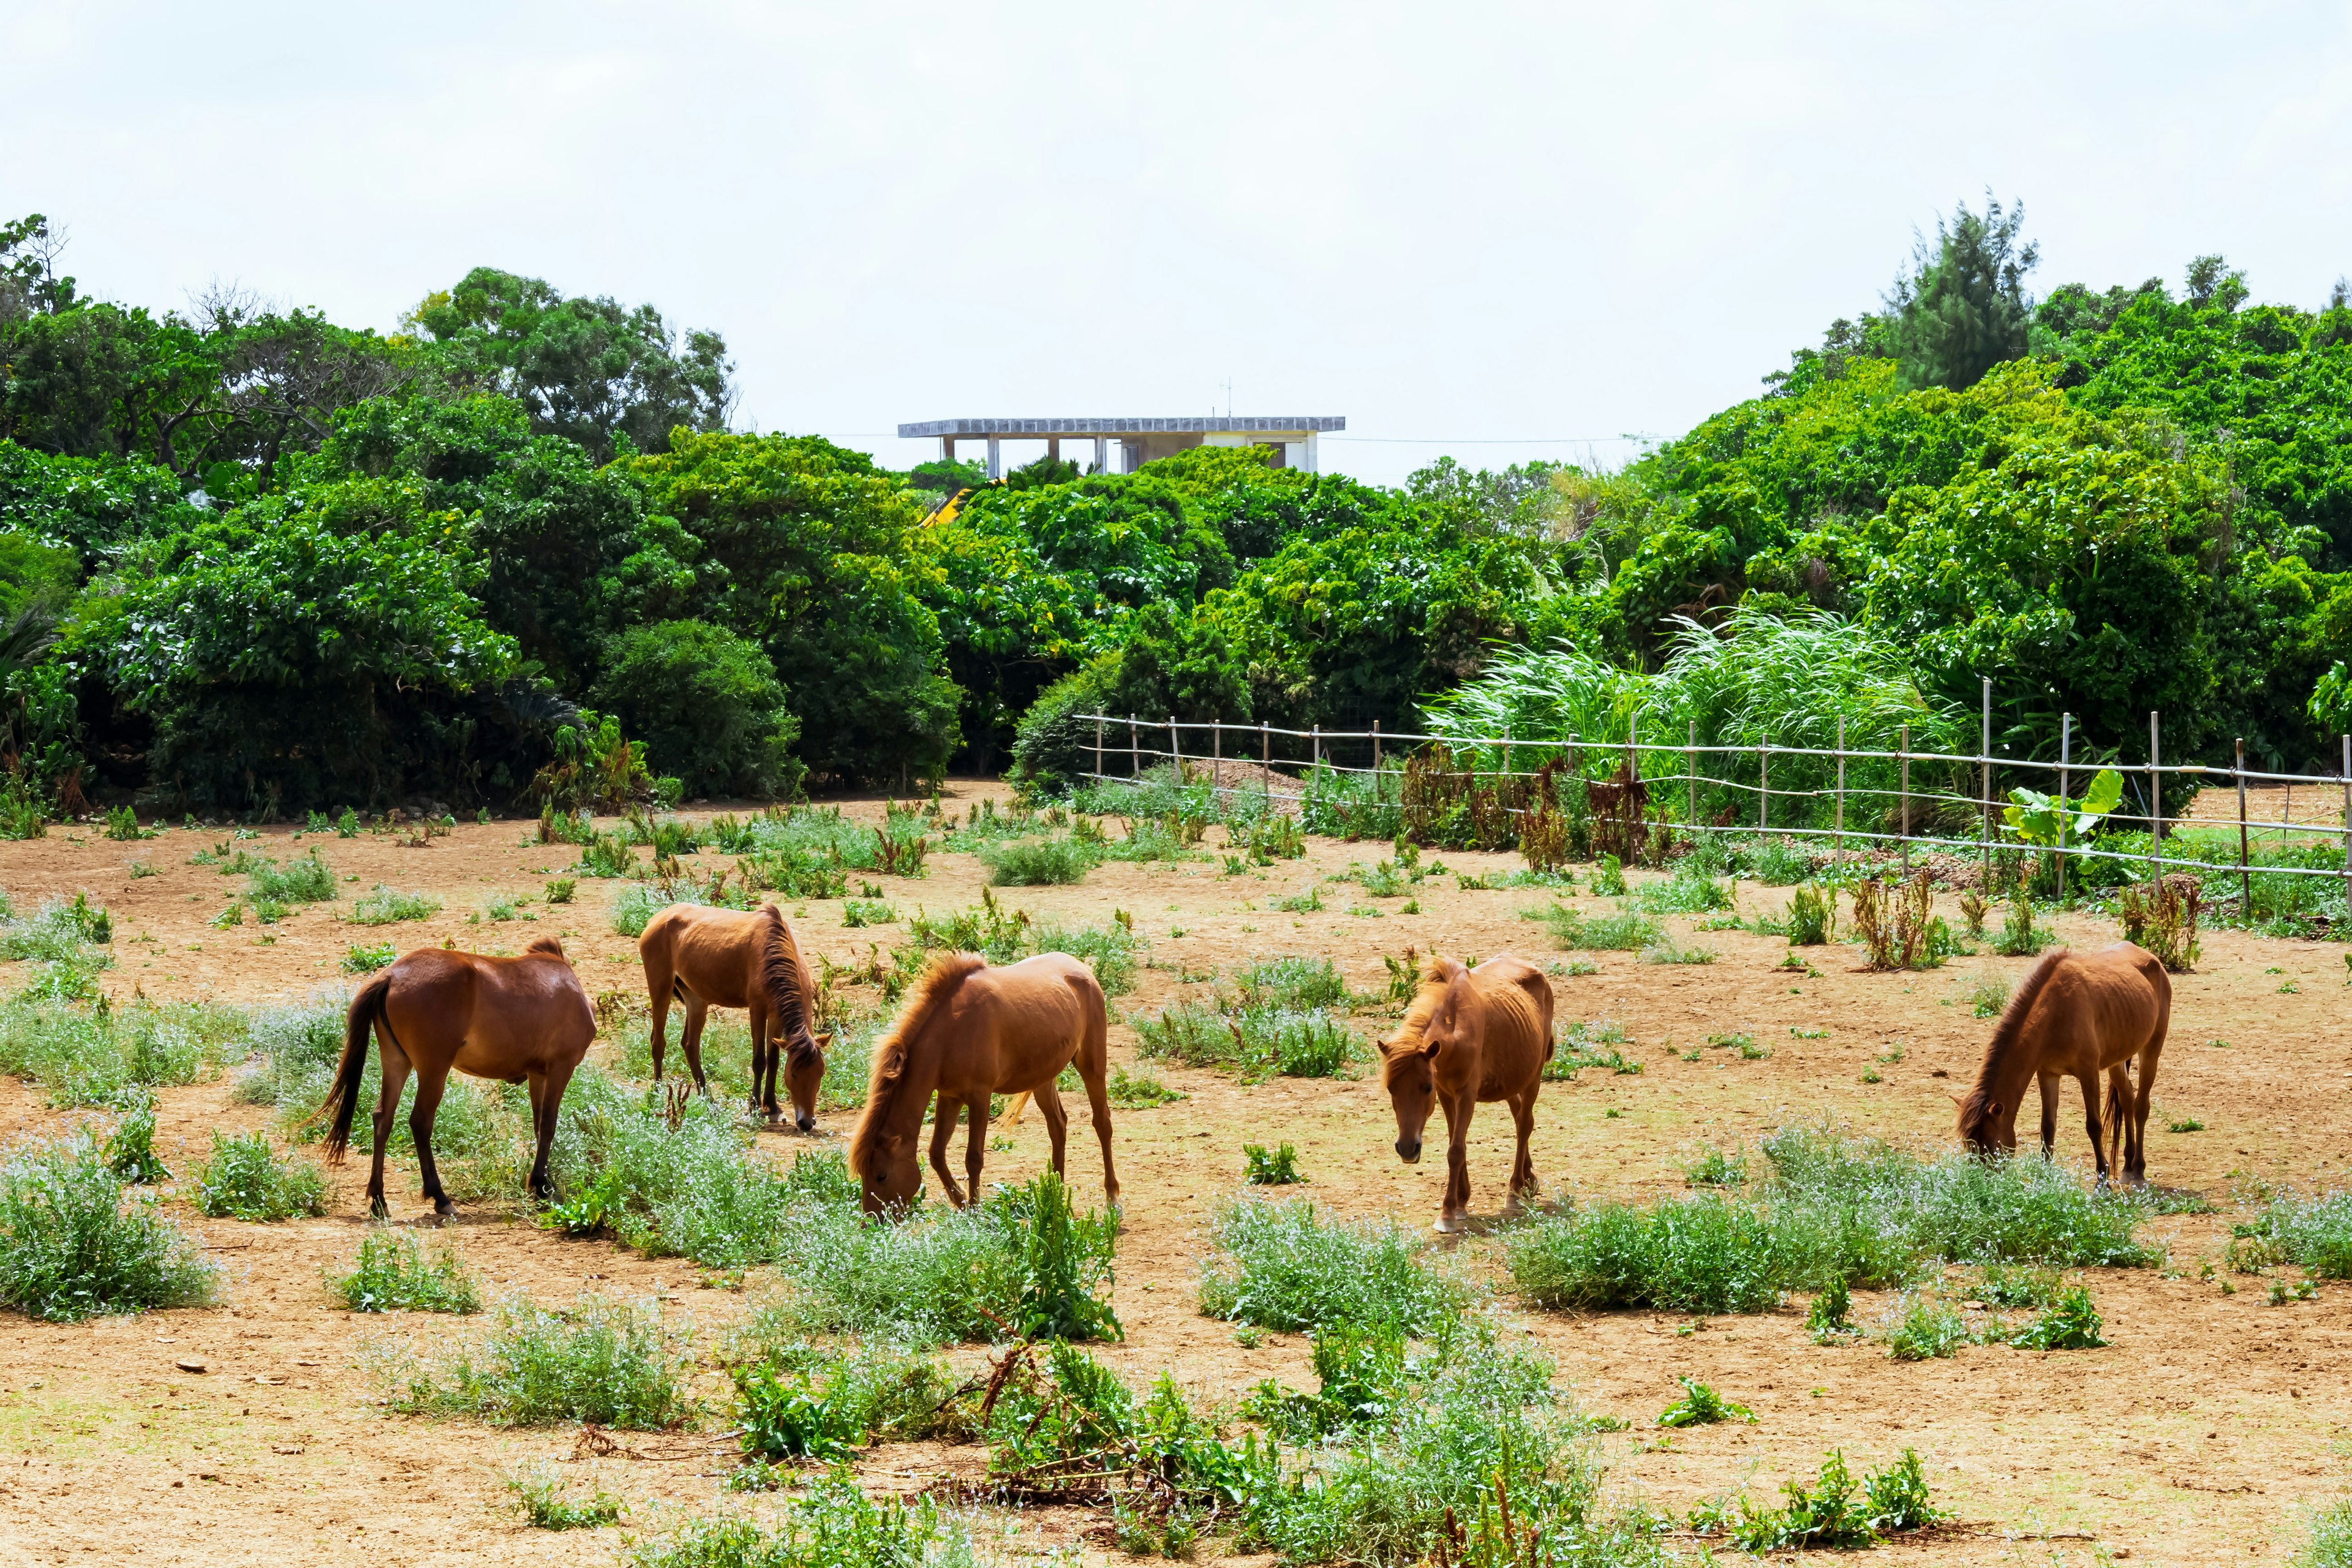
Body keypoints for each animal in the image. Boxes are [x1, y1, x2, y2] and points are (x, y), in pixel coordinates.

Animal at [315, 940, 597, 1222]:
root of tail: (392, 976)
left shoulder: (538, 1073)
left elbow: (538, 1126)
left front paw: (542, 1182)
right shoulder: (561, 1067)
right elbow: (548, 1125)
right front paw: (541, 1186)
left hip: (396, 1062)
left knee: (383, 1118)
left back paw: (378, 1200)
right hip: (434, 1069)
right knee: (420, 1121)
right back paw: (440, 1197)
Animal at [639, 902, 832, 1133]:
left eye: (820, 1074)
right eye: (794, 1074)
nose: (806, 1122)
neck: (773, 951)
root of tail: (657, 919)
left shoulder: (776, 1016)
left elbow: (774, 1060)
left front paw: (773, 1107)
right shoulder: (757, 1010)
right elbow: (760, 1061)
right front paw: (755, 1108)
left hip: (696, 999)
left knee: (690, 1045)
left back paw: (709, 1101)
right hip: (661, 988)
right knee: (658, 1043)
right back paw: (658, 1094)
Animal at [846, 949, 1119, 1222]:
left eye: (881, 1176)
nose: (870, 1223)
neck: (950, 1035)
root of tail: (1083, 969)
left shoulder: (980, 1097)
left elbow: (974, 1158)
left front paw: (975, 1212)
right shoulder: (950, 1097)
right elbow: (937, 1154)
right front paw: (962, 1203)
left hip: (1092, 1067)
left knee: (1102, 1123)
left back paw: (1112, 1198)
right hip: (1043, 1079)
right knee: (1058, 1125)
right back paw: (1056, 1196)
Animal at [1373, 949, 1561, 1232]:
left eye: (1426, 1088)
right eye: (1391, 1088)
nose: (1407, 1149)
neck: (1455, 1029)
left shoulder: (1465, 1095)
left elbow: (1456, 1150)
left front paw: (1448, 1213)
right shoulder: (1446, 1094)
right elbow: (1456, 1140)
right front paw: (1461, 1201)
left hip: (1534, 1076)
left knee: (1525, 1124)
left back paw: (1515, 1189)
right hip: (1511, 1080)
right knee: (1520, 1119)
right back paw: (1529, 1180)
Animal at [1956, 944, 2173, 1189]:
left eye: (1992, 1145)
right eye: (1969, 1145)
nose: (1982, 1186)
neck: (2054, 1013)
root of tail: (2153, 959)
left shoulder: (2088, 1073)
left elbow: (2094, 1126)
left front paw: (2102, 1182)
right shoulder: (2047, 1074)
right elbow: (2047, 1127)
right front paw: (2045, 1177)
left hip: (2151, 1051)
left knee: (2141, 1107)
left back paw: (2137, 1170)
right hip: (2117, 1059)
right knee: (2127, 1100)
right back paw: (2127, 1166)